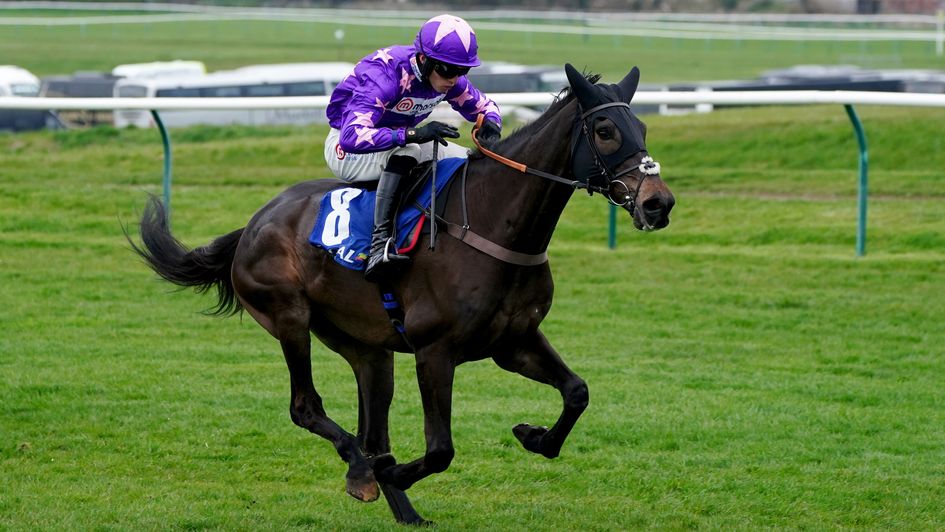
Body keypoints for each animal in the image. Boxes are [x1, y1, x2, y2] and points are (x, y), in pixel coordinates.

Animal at [129, 64, 676, 524]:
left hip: (368, 348)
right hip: (289, 318)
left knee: (372, 429)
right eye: (604, 131)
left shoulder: (513, 342)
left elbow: (577, 392)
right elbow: (440, 450)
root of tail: (252, 224)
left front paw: (533, 435)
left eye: (642, 129)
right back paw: (365, 472)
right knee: (309, 409)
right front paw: (393, 470)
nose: (659, 203)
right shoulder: (435, 351)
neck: (493, 224)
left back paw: (399, 504)